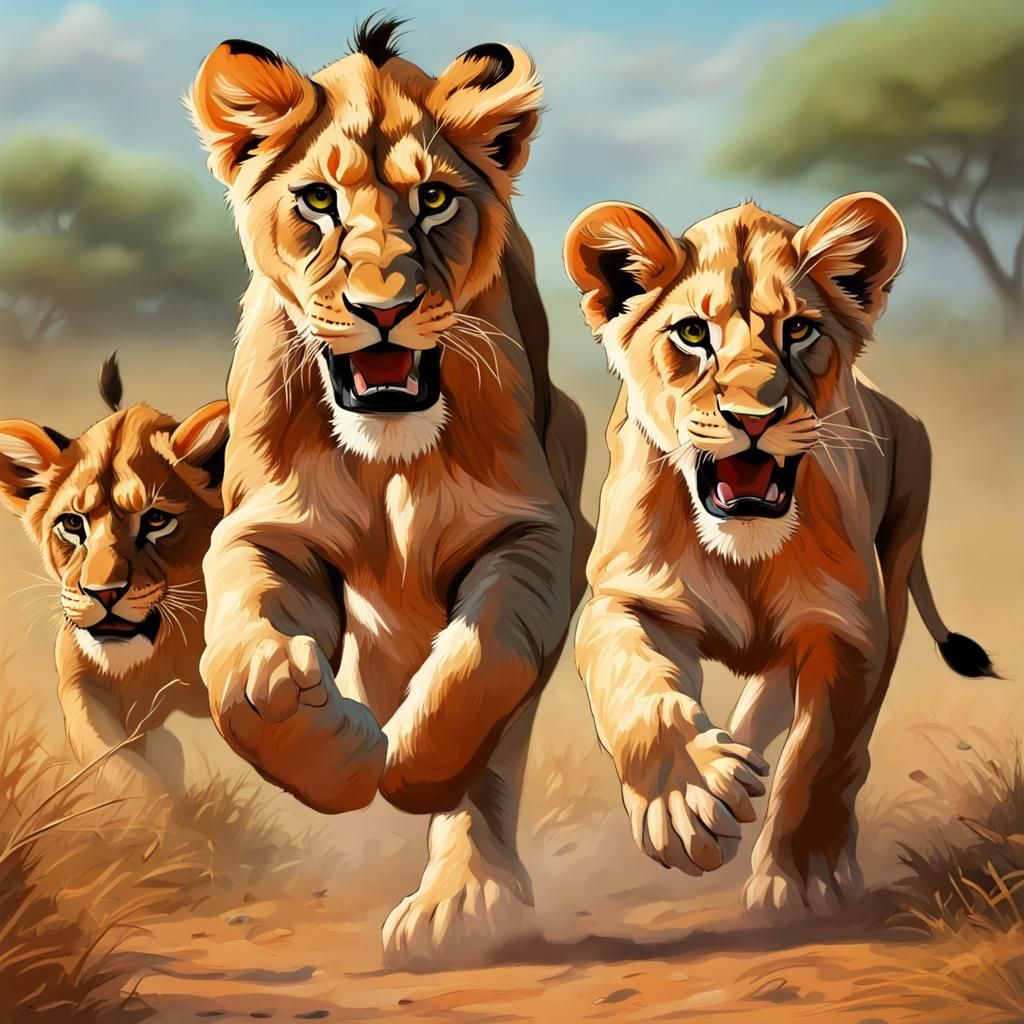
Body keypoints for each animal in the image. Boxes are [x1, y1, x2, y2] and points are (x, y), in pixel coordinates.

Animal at [0, 356, 229, 798]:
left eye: (156, 520)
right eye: (73, 523)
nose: (102, 593)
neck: (166, 649)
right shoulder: (82, 687)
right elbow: (127, 774)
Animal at [187, 17, 591, 966]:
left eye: (435, 199)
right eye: (318, 201)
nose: (382, 309)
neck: (388, 458)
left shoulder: (538, 528)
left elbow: (487, 661)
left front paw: (413, 766)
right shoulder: (263, 526)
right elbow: (238, 651)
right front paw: (309, 722)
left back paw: (466, 900)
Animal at [563, 192, 996, 917]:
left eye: (799, 331)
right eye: (692, 334)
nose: (754, 417)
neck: (745, 553)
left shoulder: (848, 629)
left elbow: (817, 759)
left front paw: (805, 878)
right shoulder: (627, 597)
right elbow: (637, 688)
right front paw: (688, 800)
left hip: (898, 563)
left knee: (843, 746)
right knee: (760, 700)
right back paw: (736, 762)